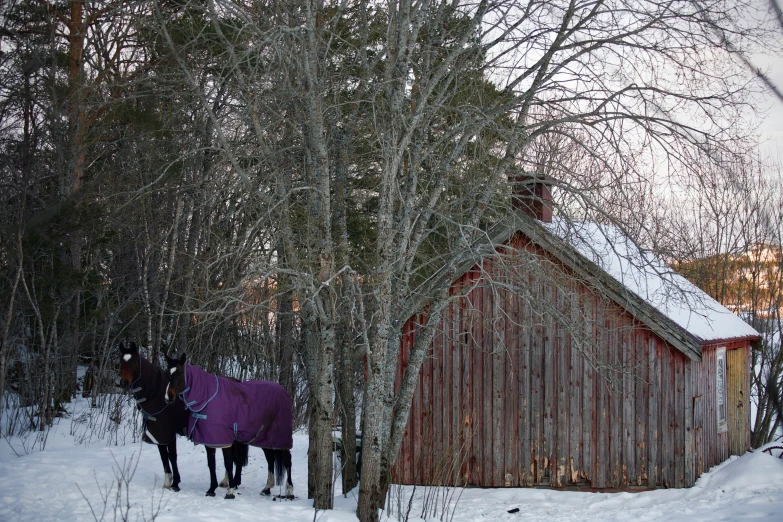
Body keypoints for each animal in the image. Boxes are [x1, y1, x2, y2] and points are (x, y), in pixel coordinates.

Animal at [118, 342, 248, 492]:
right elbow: (164, 456)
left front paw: (175, 483)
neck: (157, 395)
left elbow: (172, 456)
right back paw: (226, 481)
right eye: (121, 361)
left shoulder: (169, 432)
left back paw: (235, 482)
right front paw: (167, 482)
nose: (124, 383)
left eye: (133, 361)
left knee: (237, 457)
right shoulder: (158, 434)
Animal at [164, 352, 296, 498]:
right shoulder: (210, 439)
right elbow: (211, 464)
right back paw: (267, 488)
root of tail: (284, 392)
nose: (168, 397)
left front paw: (230, 490)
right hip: (264, 438)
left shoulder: (224, 439)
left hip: (280, 438)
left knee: (287, 460)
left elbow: (228, 462)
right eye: (167, 374)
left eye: (179, 374)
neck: (208, 397)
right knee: (270, 459)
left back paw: (289, 491)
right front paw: (211, 489)